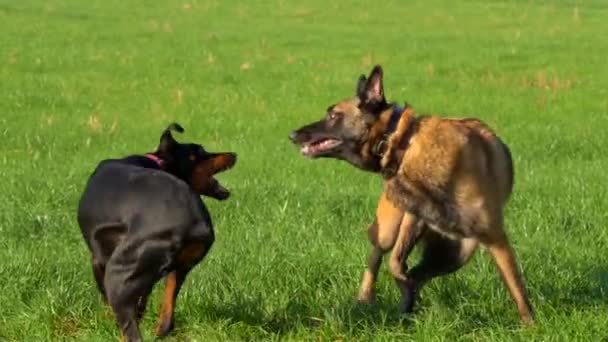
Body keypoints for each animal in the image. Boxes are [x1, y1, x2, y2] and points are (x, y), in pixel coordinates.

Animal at [76, 122, 238, 340]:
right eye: (200, 152)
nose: (234, 155)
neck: (156, 162)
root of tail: (194, 221)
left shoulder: (97, 260)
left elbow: (107, 302)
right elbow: (143, 301)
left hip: (117, 275)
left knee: (130, 329)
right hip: (178, 268)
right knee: (167, 314)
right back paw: (160, 329)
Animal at [290, 65, 532, 324]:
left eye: (333, 115)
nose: (292, 134)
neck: (401, 143)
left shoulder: (495, 237)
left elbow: (517, 289)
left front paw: (531, 325)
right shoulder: (413, 216)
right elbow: (395, 263)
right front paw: (404, 288)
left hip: (457, 253)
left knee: (420, 271)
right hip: (390, 229)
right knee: (378, 255)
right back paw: (370, 297)